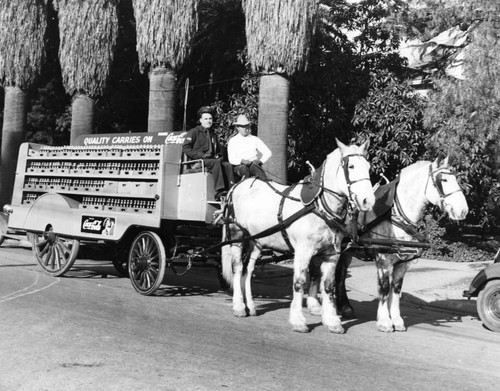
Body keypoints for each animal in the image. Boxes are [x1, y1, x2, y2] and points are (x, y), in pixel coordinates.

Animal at [223, 140, 376, 334]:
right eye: (351, 166)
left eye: (368, 167)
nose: (368, 201)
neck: (319, 207)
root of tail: (238, 185)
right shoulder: (303, 251)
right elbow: (300, 282)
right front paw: (298, 321)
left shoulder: (332, 253)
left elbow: (328, 286)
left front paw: (332, 321)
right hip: (237, 235)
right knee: (237, 268)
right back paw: (239, 306)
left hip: (255, 240)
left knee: (248, 270)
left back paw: (250, 305)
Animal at [332, 157, 468, 334]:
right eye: (443, 180)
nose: (463, 210)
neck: (396, 215)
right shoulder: (383, 260)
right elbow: (384, 289)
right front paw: (384, 321)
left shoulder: (404, 263)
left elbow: (396, 290)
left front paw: (396, 320)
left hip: (347, 251)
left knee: (340, 275)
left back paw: (345, 307)